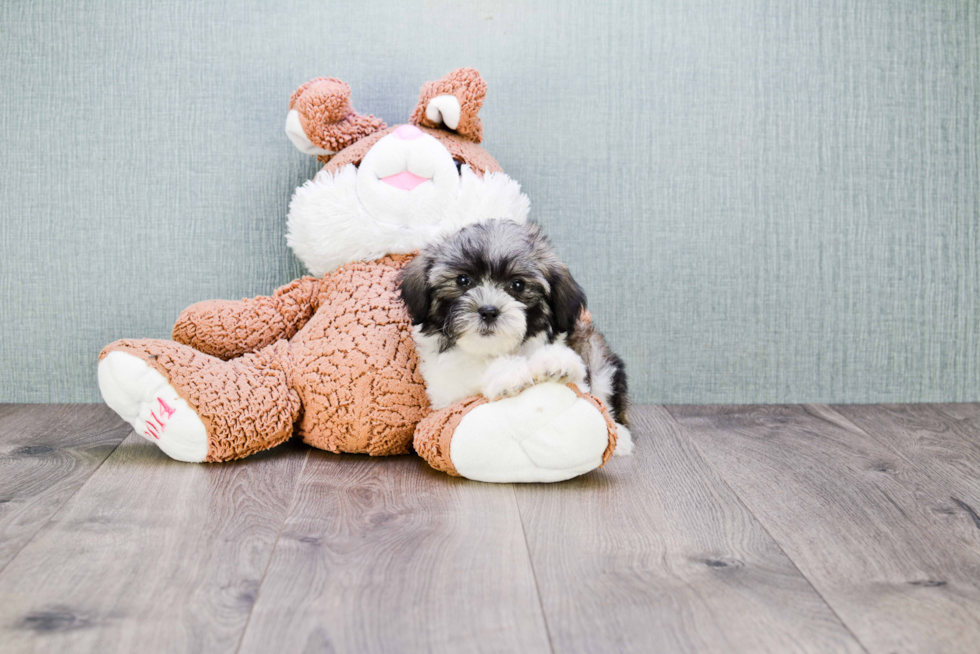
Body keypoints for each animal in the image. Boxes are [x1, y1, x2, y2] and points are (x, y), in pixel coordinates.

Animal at [400, 218, 636, 454]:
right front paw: (509, 373)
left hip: (598, 354)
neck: (494, 349)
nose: (488, 311)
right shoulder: (444, 390)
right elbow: (470, 370)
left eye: (518, 285)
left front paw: (555, 361)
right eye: (463, 280)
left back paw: (621, 437)